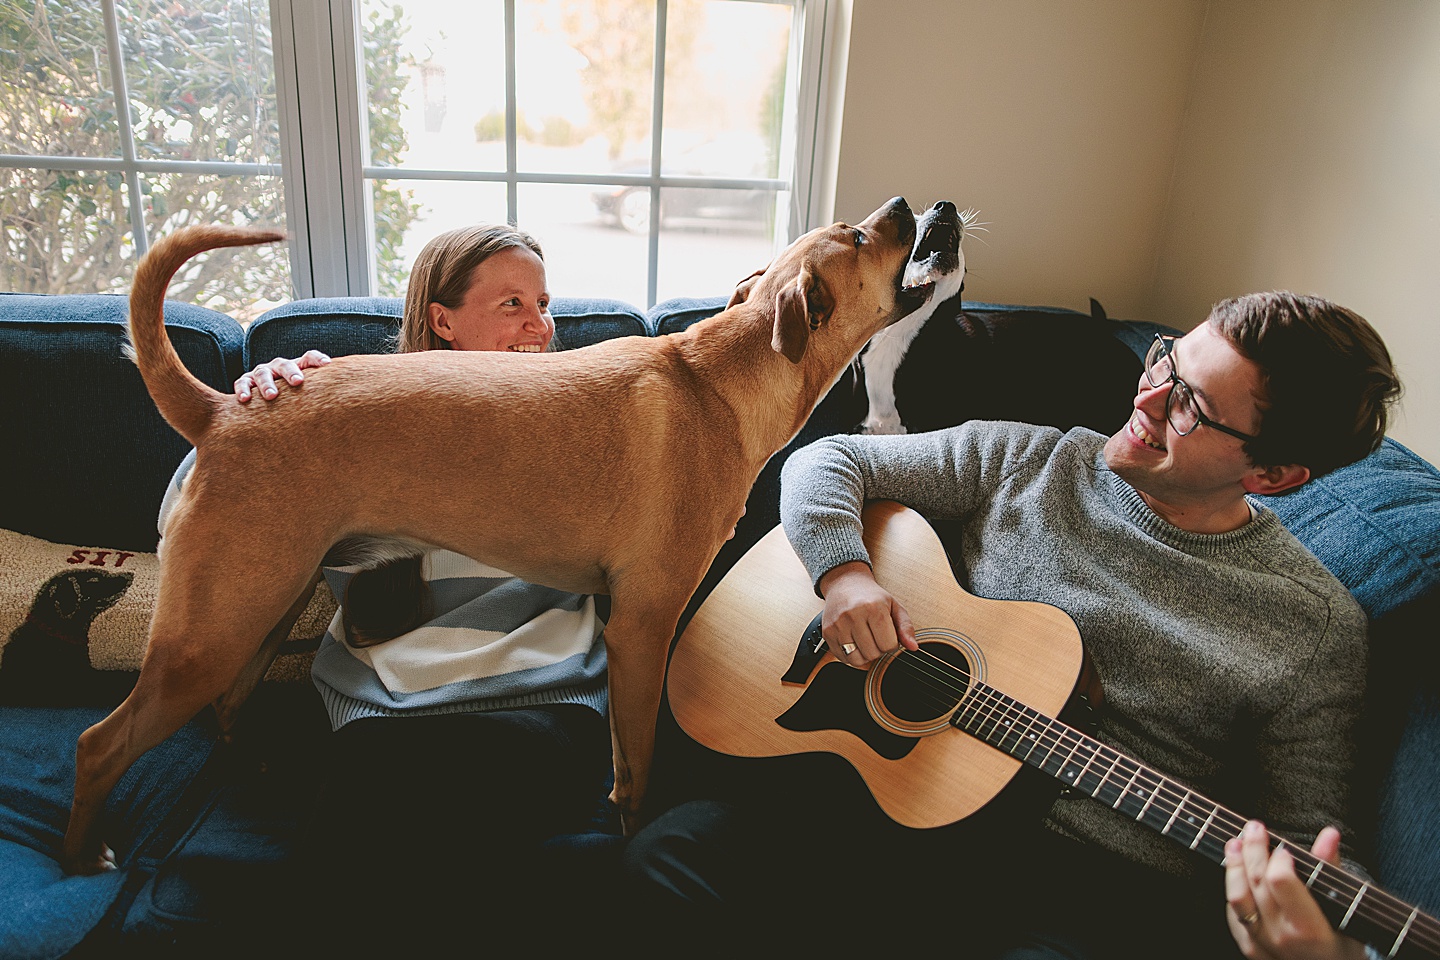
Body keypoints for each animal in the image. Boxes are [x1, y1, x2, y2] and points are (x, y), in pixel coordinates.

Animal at [61, 195, 927, 869]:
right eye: (857, 238)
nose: (915, 207)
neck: (718, 380)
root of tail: (222, 411)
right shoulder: (643, 629)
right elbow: (638, 767)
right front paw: (629, 822)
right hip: (213, 633)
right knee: (99, 745)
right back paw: (81, 852)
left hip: (255, 614)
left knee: (230, 706)